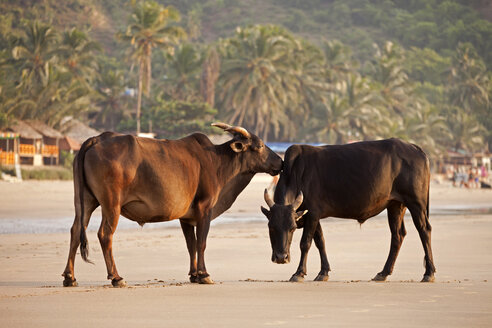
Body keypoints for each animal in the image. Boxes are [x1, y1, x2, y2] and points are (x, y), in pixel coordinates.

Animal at [62, 123, 280, 288]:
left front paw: (194, 274)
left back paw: (70, 277)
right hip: (111, 204)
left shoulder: (186, 217)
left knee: (75, 230)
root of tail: (97, 139)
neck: (217, 161)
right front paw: (204, 274)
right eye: (260, 145)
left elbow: (191, 244)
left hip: (85, 201)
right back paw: (116, 277)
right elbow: (201, 243)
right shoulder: (205, 209)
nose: (280, 162)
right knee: (105, 234)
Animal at [262, 138, 434, 282]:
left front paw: (298, 273)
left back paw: (429, 273)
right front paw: (323, 272)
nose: (281, 257)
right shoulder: (312, 216)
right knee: (398, 235)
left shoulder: (313, 214)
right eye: (271, 228)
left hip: (416, 203)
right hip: (395, 205)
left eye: (292, 228)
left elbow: (306, 243)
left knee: (424, 230)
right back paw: (383, 273)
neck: (297, 174)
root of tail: (415, 148)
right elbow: (320, 242)